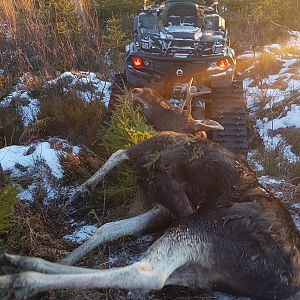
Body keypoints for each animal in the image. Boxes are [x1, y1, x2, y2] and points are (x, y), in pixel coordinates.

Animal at [0, 85, 300, 298]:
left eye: (173, 107)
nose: (138, 90)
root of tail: (286, 281)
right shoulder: (162, 209)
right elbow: (106, 228)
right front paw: (69, 252)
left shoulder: (148, 157)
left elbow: (116, 153)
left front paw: (81, 191)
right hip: (204, 270)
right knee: (153, 274)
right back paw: (25, 263)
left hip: (200, 228)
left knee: (146, 273)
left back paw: (22, 280)